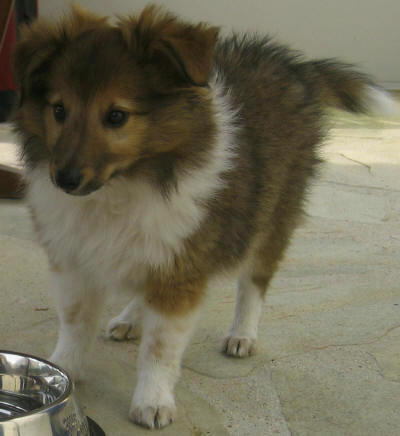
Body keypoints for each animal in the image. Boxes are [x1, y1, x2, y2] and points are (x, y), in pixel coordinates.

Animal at [12, 4, 397, 429]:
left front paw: (152, 402)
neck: (125, 183)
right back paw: (130, 318)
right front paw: (63, 371)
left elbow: (160, 347)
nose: (64, 179)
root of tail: (293, 69)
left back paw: (242, 335)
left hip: (271, 217)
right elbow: (76, 323)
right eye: (59, 110)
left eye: (116, 116)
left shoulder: (181, 268)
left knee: (255, 283)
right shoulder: (75, 259)